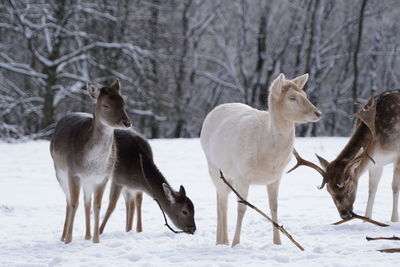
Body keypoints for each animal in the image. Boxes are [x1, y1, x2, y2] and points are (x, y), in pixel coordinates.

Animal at [49, 80, 131, 244]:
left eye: (123, 102)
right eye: (106, 105)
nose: (127, 123)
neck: (93, 164)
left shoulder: (103, 177)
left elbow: (97, 205)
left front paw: (96, 240)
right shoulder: (73, 173)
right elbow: (74, 203)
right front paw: (68, 240)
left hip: (88, 181)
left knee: (87, 202)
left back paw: (87, 236)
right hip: (59, 173)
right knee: (69, 201)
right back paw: (63, 237)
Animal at [200, 73, 322, 247]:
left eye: (305, 94)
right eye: (292, 98)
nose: (318, 113)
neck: (269, 157)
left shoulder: (276, 177)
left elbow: (274, 206)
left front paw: (278, 243)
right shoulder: (242, 175)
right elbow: (242, 209)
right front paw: (236, 243)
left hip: (228, 175)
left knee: (220, 199)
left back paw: (220, 240)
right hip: (213, 166)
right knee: (222, 202)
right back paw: (223, 242)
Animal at [290, 91, 400, 223]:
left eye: (350, 188)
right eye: (329, 191)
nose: (344, 215)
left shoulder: (397, 154)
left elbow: (395, 186)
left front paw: (394, 220)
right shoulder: (376, 162)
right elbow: (372, 188)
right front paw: (366, 220)